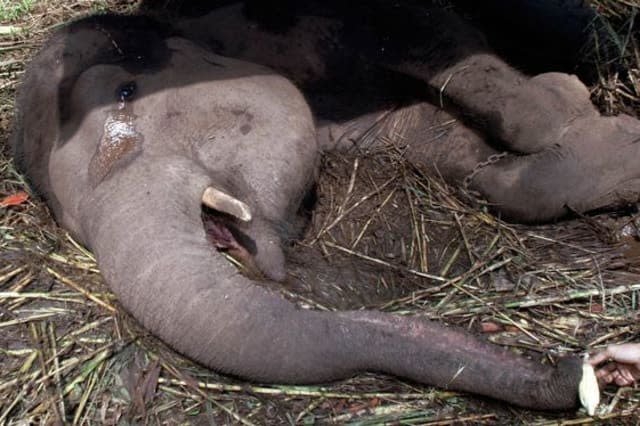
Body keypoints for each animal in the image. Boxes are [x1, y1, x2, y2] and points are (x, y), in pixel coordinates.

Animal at [11, 1, 640, 412]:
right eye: (72, 223)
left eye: (125, 92)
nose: (579, 365)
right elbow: (432, 139)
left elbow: (442, 50)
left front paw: (594, 119)